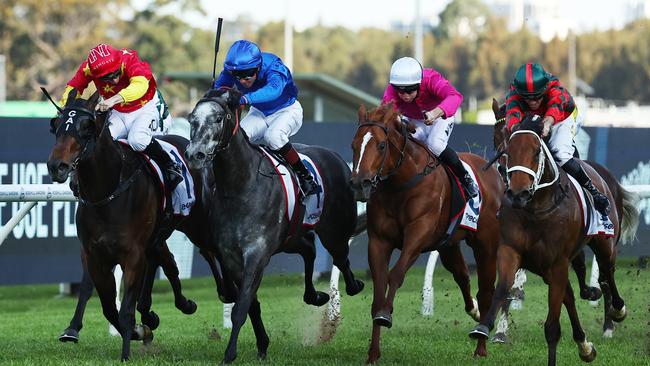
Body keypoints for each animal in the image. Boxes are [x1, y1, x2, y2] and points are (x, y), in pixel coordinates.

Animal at [45, 89, 225, 360]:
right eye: (55, 125)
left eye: (86, 126)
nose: (57, 166)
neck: (107, 193)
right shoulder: (95, 255)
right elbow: (109, 308)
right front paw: (142, 330)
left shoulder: (132, 255)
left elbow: (125, 310)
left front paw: (126, 353)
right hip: (158, 236)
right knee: (168, 264)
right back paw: (166, 308)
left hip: (197, 224)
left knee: (209, 251)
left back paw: (226, 292)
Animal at [184, 88, 364, 364]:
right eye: (192, 119)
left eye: (219, 118)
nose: (196, 155)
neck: (240, 186)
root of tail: (337, 158)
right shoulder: (231, 256)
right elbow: (251, 305)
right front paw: (262, 344)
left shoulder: (257, 252)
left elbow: (242, 305)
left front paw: (230, 352)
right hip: (291, 238)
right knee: (309, 250)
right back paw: (315, 295)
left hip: (333, 230)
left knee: (341, 258)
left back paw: (353, 287)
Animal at [346, 103, 504, 364]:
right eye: (353, 145)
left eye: (381, 145)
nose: (360, 183)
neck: (402, 183)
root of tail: (495, 174)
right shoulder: (379, 241)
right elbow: (379, 288)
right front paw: (373, 353)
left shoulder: (418, 234)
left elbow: (396, 274)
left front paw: (386, 314)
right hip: (448, 244)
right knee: (462, 275)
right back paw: (473, 310)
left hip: (486, 244)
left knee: (486, 290)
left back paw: (481, 345)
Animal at [468, 115, 636, 366]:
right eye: (507, 149)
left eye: (537, 151)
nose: (518, 193)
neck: (537, 209)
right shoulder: (512, 251)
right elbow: (503, 288)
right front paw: (484, 328)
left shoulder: (557, 264)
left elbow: (552, 328)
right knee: (575, 293)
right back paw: (586, 343)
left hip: (605, 244)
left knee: (607, 274)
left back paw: (616, 312)